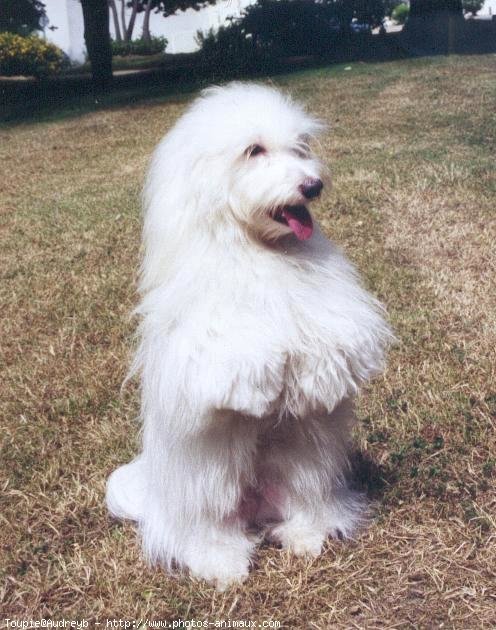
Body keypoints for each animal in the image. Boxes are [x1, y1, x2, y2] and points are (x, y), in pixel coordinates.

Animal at [107, 81, 392, 592]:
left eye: (300, 148)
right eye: (253, 150)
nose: (312, 185)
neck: (259, 248)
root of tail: (257, 511)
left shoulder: (337, 315)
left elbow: (330, 347)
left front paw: (312, 381)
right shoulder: (205, 339)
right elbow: (242, 355)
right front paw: (261, 389)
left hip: (305, 468)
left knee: (306, 504)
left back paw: (307, 536)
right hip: (207, 482)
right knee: (205, 529)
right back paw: (222, 564)